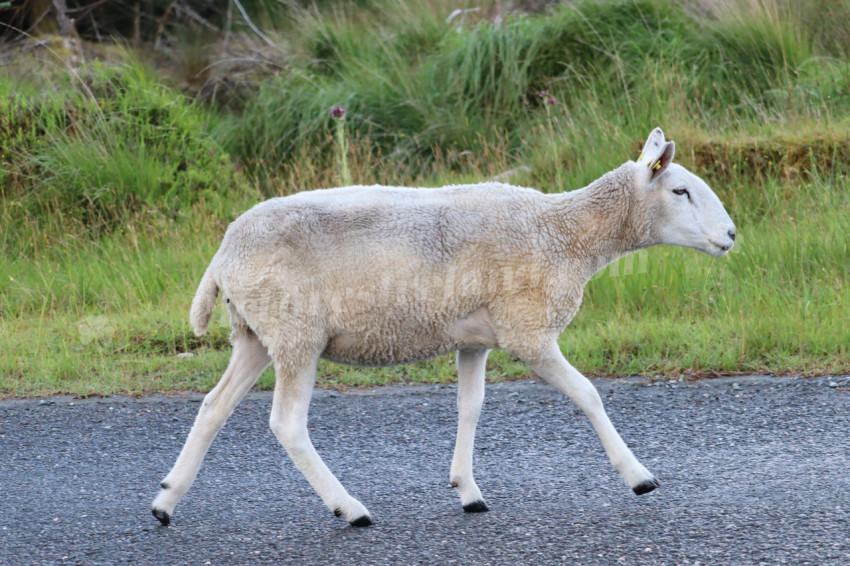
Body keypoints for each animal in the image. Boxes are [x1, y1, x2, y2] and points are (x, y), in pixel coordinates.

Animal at [152, 127, 736, 528]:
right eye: (680, 191)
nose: (731, 235)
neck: (567, 233)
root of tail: (224, 253)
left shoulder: (474, 339)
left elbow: (470, 407)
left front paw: (467, 490)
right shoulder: (528, 332)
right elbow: (588, 394)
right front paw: (639, 477)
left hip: (255, 334)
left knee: (213, 407)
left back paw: (165, 501)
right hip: (297, 334)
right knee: (287, 424)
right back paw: (350, 508)